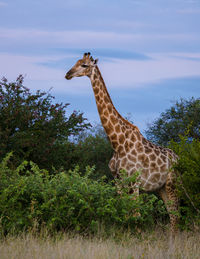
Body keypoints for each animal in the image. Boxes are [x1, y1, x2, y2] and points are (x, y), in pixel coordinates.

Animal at [65, 52, 180, 236]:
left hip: (172, 183)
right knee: (171, 212)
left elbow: (136, 214)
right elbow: (123, 212)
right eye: (76, 62)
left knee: (176, 212)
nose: (67, 74)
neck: (117, 143)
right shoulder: (118, 181)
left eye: (84, 65)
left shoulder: (134, 181)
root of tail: (178, 158)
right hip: (160, 187)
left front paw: (137, 237)